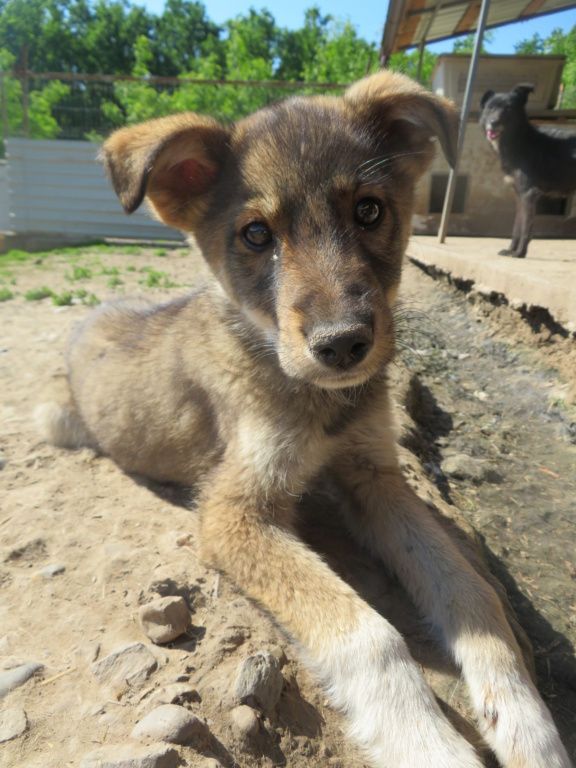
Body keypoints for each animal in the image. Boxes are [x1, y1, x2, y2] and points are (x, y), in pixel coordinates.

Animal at [480, 84, 576, 258]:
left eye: (508, 109)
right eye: (490, 108)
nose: (493, 122)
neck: (520, 141)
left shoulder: (529, 194)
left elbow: (525, 227)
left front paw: (519, 253)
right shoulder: (519, 195)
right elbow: (517, 226)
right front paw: (511, 250)